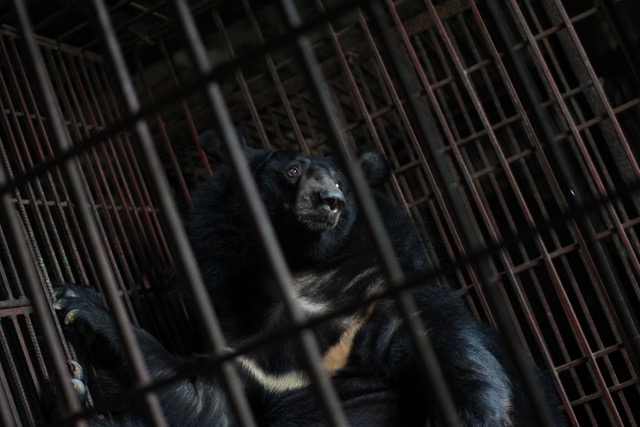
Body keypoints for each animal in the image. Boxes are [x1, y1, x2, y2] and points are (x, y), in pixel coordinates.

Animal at [52, 130, 565, 426]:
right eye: (293, 171)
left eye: (340, 182)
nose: (328, 202)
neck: (301, 279)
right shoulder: (250, 352)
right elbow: (201, 398)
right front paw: (79, 305)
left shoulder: (385, 301)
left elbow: (462, 364)